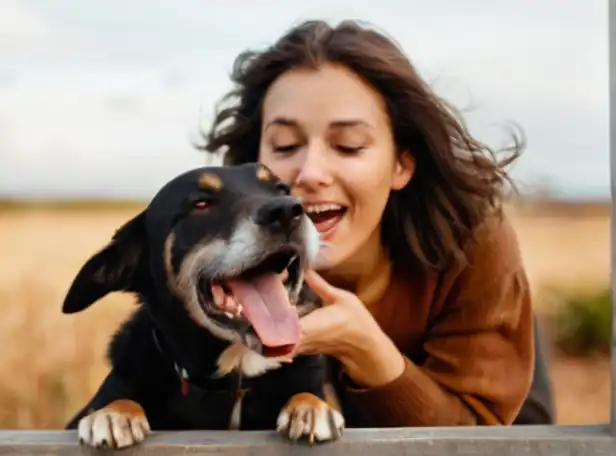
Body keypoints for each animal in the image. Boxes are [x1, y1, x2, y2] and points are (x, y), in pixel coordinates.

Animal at [62, 163, 346, 448]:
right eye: (201, 203)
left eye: (282, 190)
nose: (288, 210)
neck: (234, 380)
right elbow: (117, 399)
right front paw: (113, 413)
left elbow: (306, 393)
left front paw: (310, 407)